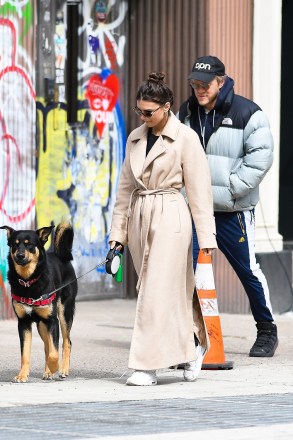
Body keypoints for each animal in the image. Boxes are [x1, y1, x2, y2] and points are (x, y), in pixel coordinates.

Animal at [0, 223, 77, 382]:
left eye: (30, 245)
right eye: (15, 244)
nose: (20, 255)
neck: (28, 281)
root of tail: (61, 256)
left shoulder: (52, 320)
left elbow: (54, 352)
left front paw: (54, 367)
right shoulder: (23, 323)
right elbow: (25, 353)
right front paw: (22, 375)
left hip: (64, 312)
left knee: (67, 342)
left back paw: (63, 369)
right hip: (41, 325)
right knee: (47, 346)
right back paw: (48, 371)